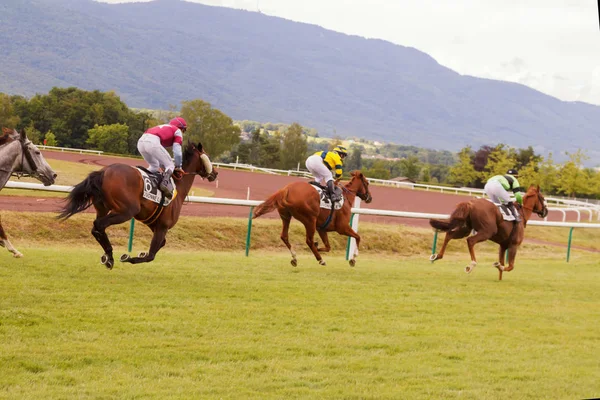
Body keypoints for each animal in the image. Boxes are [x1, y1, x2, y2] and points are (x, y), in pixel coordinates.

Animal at [57, 141, 217, 268]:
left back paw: (107, 256)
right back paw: (110, 255)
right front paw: (129, 257)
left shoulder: (154, 224)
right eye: (207, 156)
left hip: (103, 208)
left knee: (96, 228)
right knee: (99, 225)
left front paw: (140, 253)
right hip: (127, 211)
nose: (215, 173)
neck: (178, 185)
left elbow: (162, 244)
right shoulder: (163, 226)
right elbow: (151, 255)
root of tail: (104, 172)